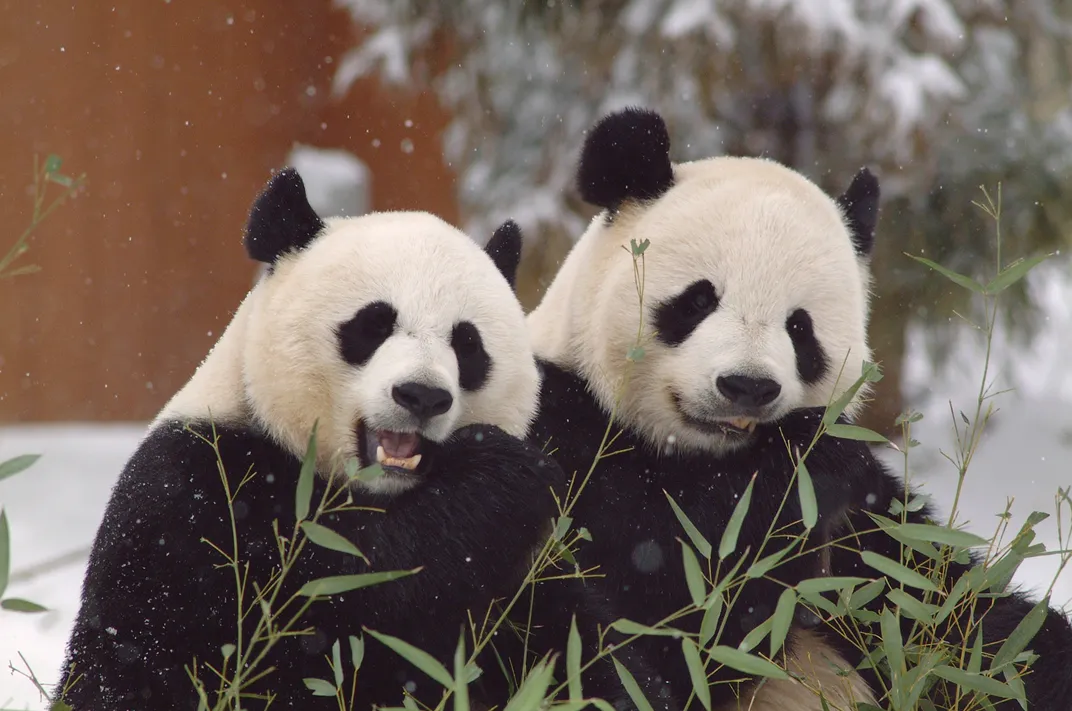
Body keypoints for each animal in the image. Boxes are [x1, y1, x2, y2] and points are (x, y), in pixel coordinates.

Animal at [520, 107, 1072, 711]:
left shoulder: (870, 536)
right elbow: (662, 611)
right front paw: (806, 461)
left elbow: (962, 621)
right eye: (698, 300)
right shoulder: (562, 434)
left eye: (800, 329)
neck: (701, 456)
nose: (746, 386)